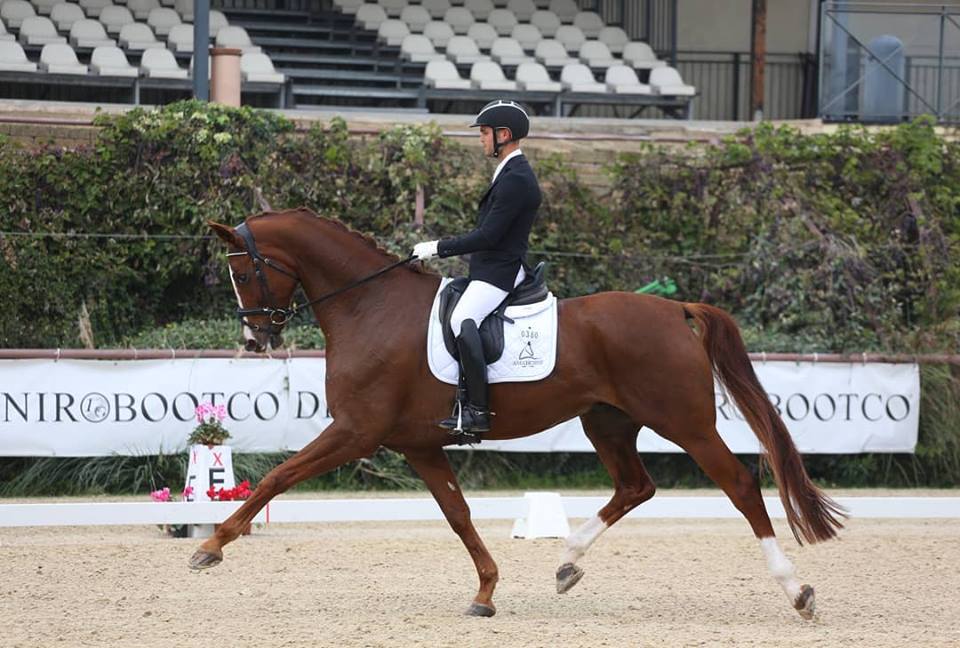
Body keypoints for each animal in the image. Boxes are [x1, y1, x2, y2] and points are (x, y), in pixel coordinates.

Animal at [193, 208, 840, 616]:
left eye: (245, 271)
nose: (255, 340)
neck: (368, 306)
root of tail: (677, 309)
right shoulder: (418, 444)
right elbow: (459, 516)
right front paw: (485, 593)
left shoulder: (357, 432)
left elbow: (278, 476)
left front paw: (212, 545)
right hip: (606, 421)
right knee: (635, 486)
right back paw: (567, 564)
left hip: (684, 422)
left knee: (739, 484)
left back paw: (797, 592)